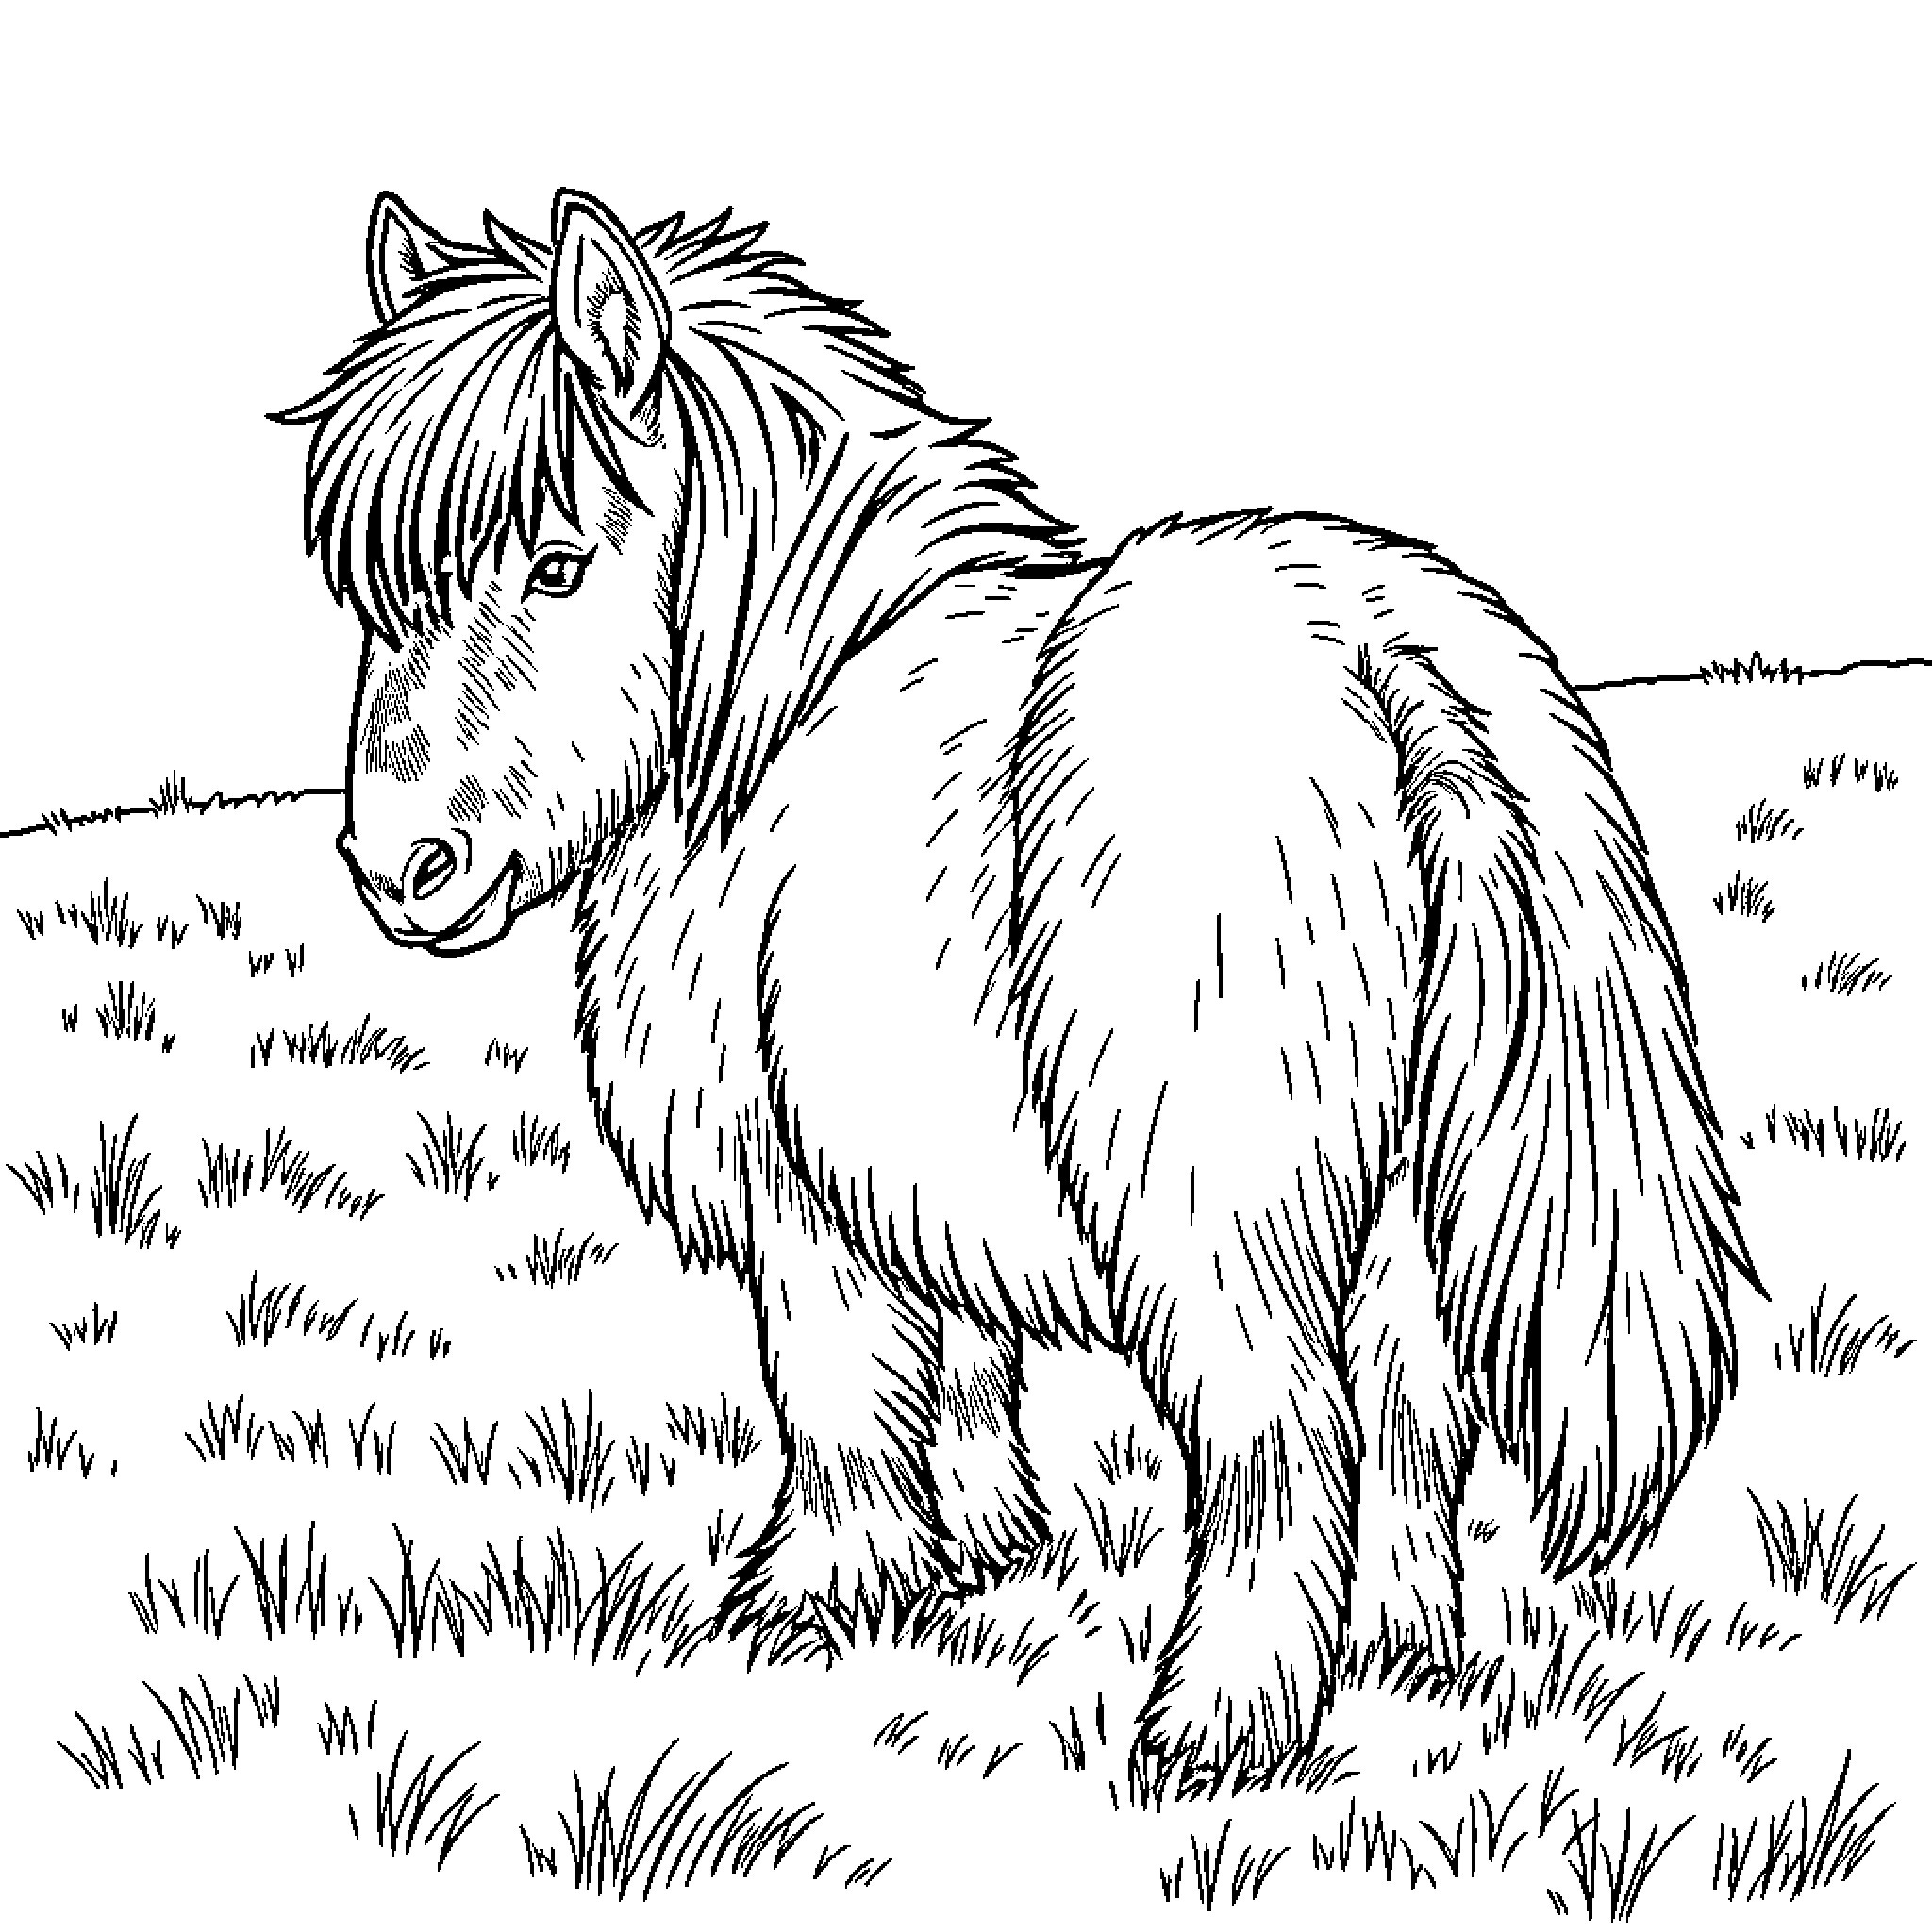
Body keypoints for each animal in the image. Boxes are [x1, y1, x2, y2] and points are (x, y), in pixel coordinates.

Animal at [275, 186, 1758, 1777]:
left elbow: (840, 1396)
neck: (777, 702)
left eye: (555, 563)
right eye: (375, 593)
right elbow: (971, 1369)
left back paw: (1215, 1730)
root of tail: (1380, 648)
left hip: (1213, 1204)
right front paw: (984, 1557)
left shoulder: (804, 1192)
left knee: (1283, 1439)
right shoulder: (926, 1168)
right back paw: (1408, 1662)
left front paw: (809, 1599)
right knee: (1413, 1419)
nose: (398, 869)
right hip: (1409, 1202)